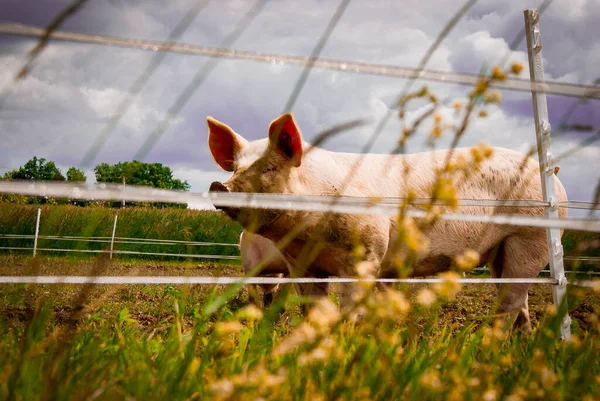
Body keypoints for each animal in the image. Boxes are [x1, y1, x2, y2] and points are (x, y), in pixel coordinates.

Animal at [206, 112, 568, 332]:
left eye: (270, 168)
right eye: (235, 168)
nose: (220, 186)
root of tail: (554, 180)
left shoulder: (366, 253)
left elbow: (350, 307)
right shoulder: (301, 265)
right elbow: (312, 310)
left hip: (531, 239)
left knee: (511, 300)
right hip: (501, 251)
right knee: (519, 302)